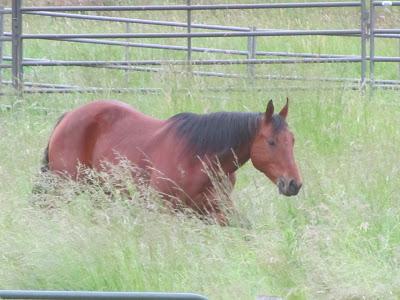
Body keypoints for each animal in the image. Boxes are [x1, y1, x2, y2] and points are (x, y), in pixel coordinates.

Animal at [42, 99, 302, 224]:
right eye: (271, 142)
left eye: (292, 140)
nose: (294, 184)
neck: (199, 159)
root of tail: (68, 116)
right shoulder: (165, 210)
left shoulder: (216, 210)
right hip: (63, 188)